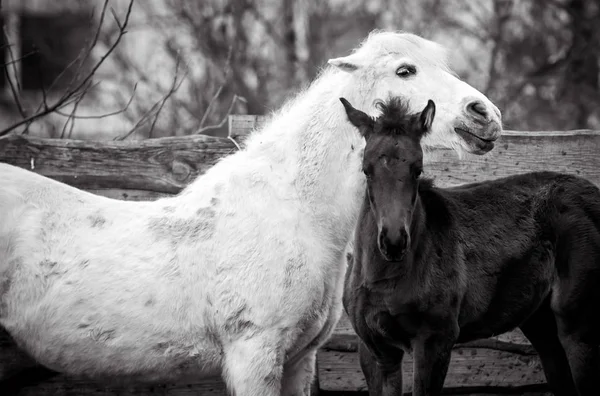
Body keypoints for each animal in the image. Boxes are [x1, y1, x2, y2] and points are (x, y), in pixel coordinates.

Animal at [342, 96, 600, 396]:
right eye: (367, 170)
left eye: (417, 170)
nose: (394, 242)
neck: (385, 278)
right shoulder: (375, 350)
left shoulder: (435, 340)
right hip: (542, 325)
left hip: (579, 325)